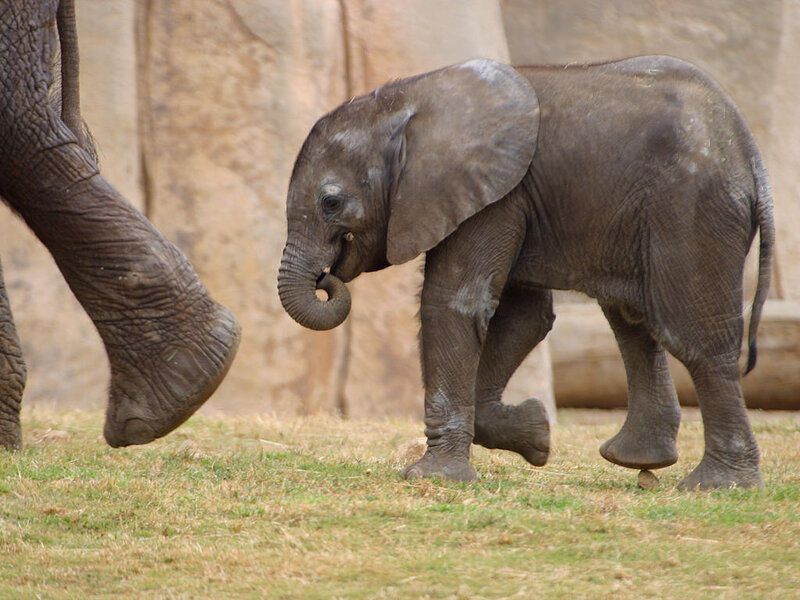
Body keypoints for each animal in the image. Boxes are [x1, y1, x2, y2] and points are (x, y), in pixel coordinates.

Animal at [278, 55, 773, 490]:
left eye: (331, 202)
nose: (325, 279)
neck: (408, 99)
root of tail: (751, 155)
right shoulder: (506, 196)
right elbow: (523, 317)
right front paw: (538, 436)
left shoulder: (495, 196)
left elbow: (453, 303)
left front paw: (431, 478)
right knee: (633, 322)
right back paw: (638, 461)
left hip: (692, 206)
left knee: (693, 337)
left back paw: (719, 485)